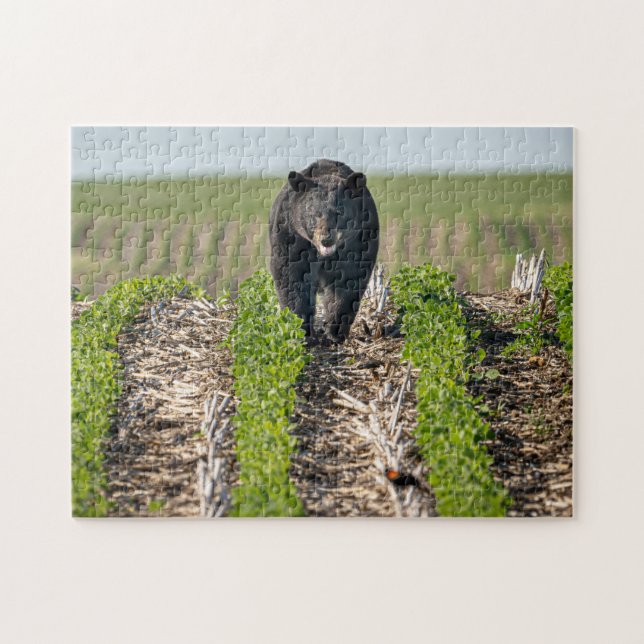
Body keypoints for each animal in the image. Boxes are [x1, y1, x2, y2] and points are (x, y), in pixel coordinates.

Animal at [269, 159, 380, 343]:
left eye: (339, 212)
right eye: (314, 213)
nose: (326, 239)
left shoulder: (358, 240)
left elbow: (348, 279)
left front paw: (335, 330)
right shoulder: (292, 236)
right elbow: (292, 276)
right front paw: (302, 329)